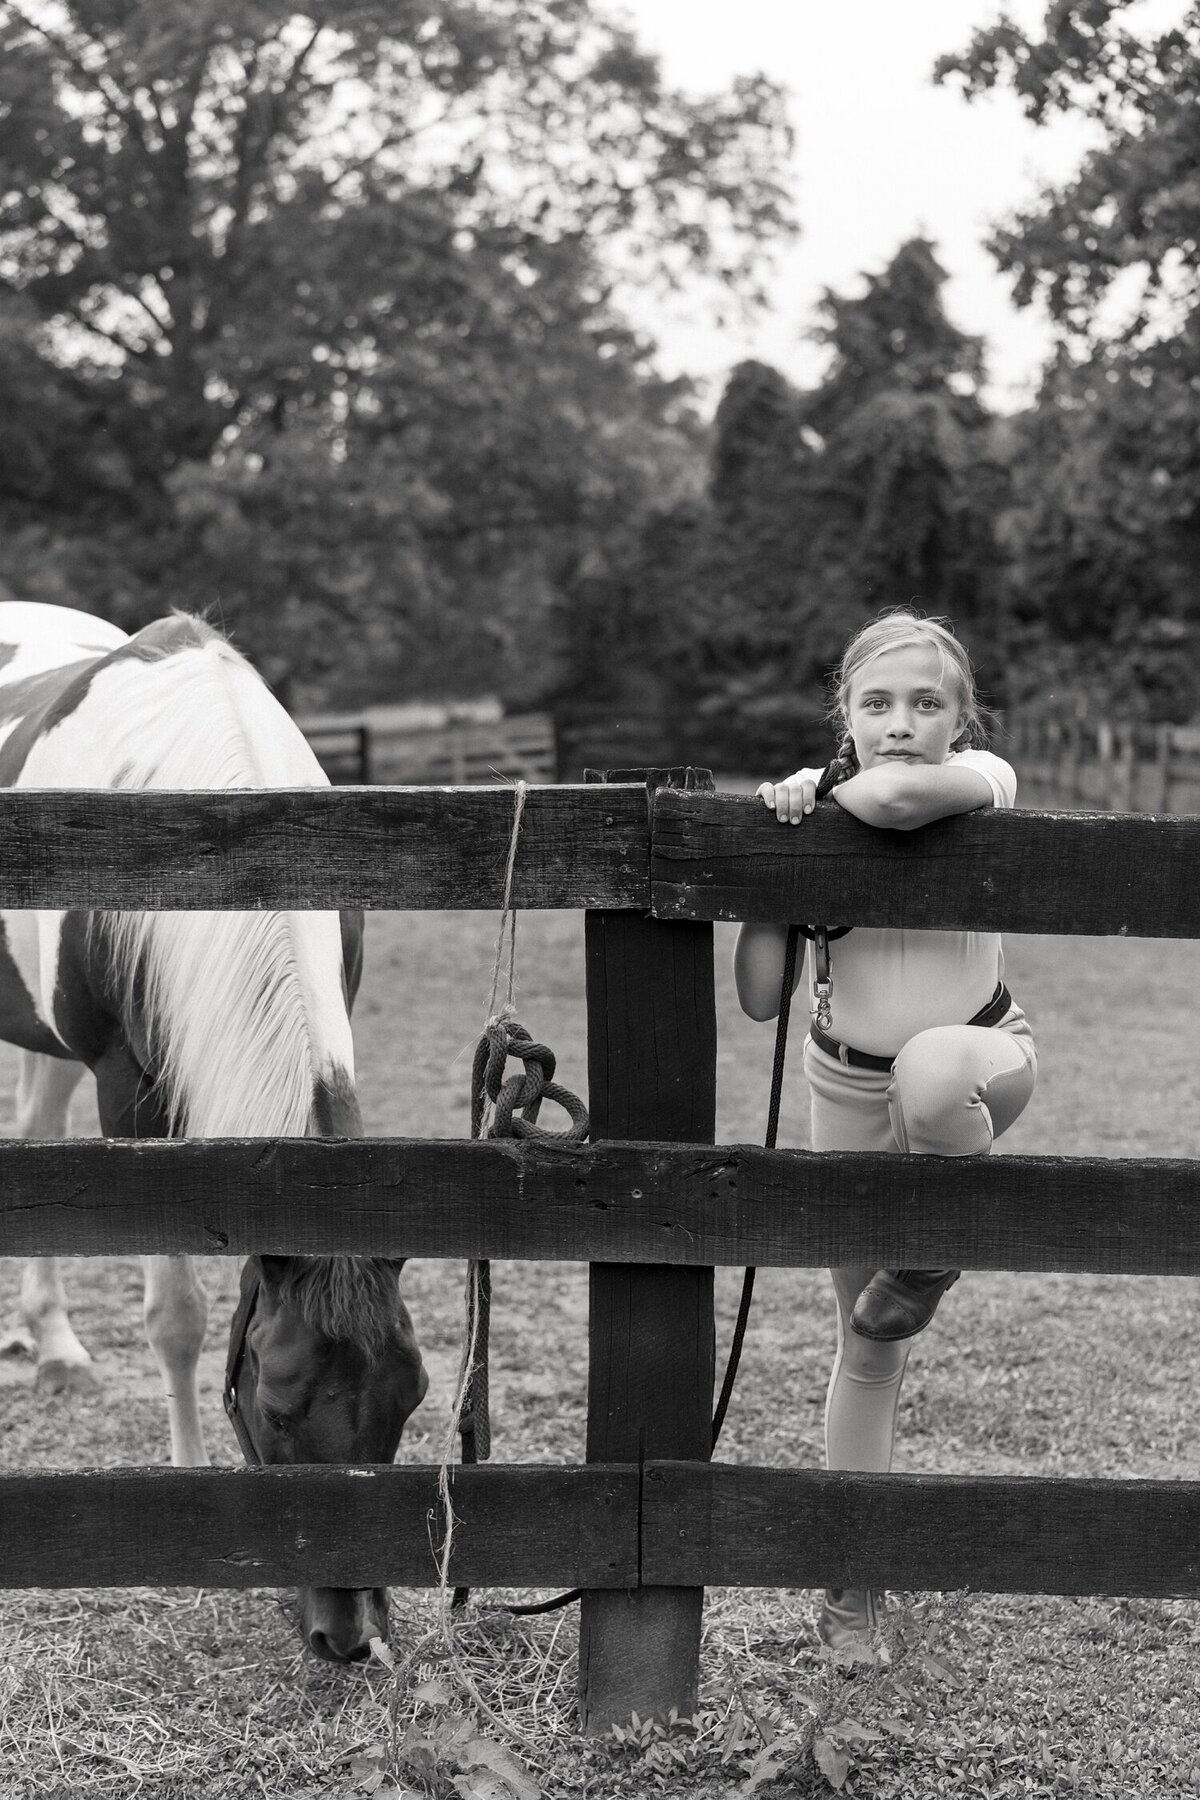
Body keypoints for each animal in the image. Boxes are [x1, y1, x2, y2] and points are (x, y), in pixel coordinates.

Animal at [0, 601, 429, 1656]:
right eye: (274, 1407)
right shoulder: (128, 1091)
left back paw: (52, 1343)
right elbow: (178, 1317)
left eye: (409, 1400)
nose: (349, 1638)